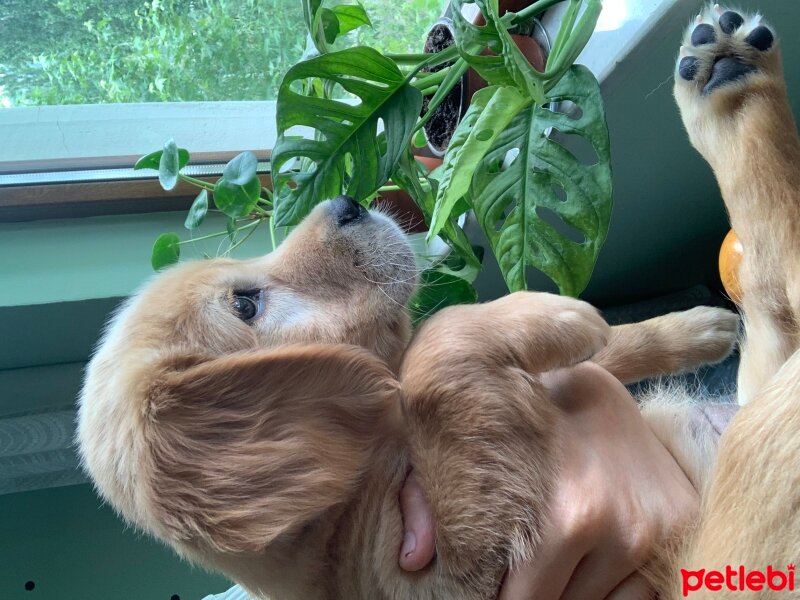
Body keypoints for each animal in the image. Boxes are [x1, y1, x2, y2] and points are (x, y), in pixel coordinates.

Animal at [79, 189, 736, 600]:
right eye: (245, 305)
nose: (347, 203)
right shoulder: (449, 574)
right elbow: (434, 348)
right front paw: (555, 312)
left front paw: (693, 327)